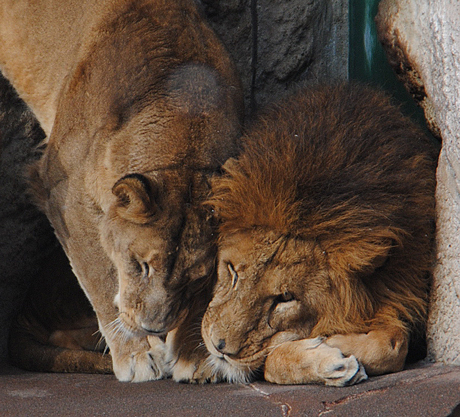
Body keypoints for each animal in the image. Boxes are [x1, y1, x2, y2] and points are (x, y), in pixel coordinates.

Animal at [0, 0, 243, 380]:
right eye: (141, 265)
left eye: (194, 278)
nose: (154, 327)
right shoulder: (63, 192)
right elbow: (100, 275)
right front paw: (136, 353)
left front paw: (193, 354)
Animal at [203, 83, 436, 386]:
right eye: (231, 270)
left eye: (286, 298)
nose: (220, 347)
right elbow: (273, 361)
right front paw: (327, 357)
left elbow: (391, 345)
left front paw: (335, 343)